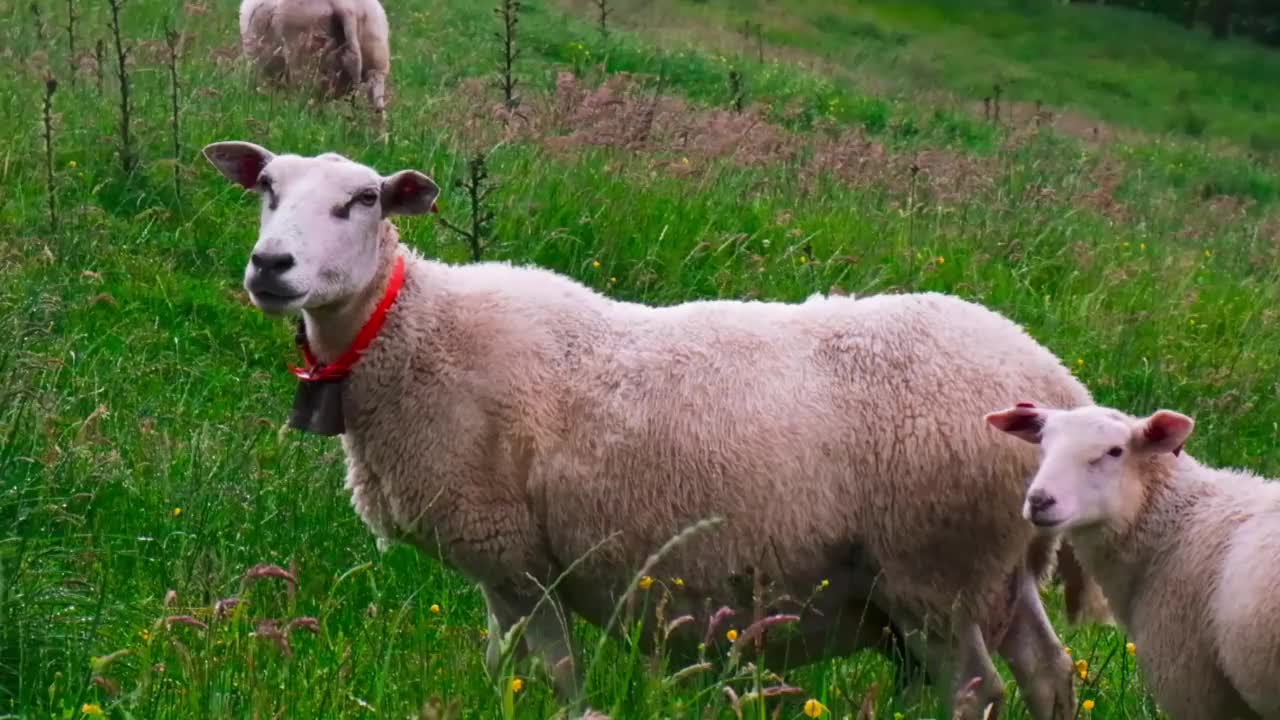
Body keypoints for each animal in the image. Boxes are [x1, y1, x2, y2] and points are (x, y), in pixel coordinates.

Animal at [199, 140, 1090, 717]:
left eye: (363, 200)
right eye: (267, 187)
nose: (271, 267)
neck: (409, 329)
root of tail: (1055, 383)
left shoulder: (518, 554)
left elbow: (556, 674)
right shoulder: (501, 565)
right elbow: (500, 664)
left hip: (933, 566)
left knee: (978, 693)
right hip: (994, 567)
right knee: (1049, 674)